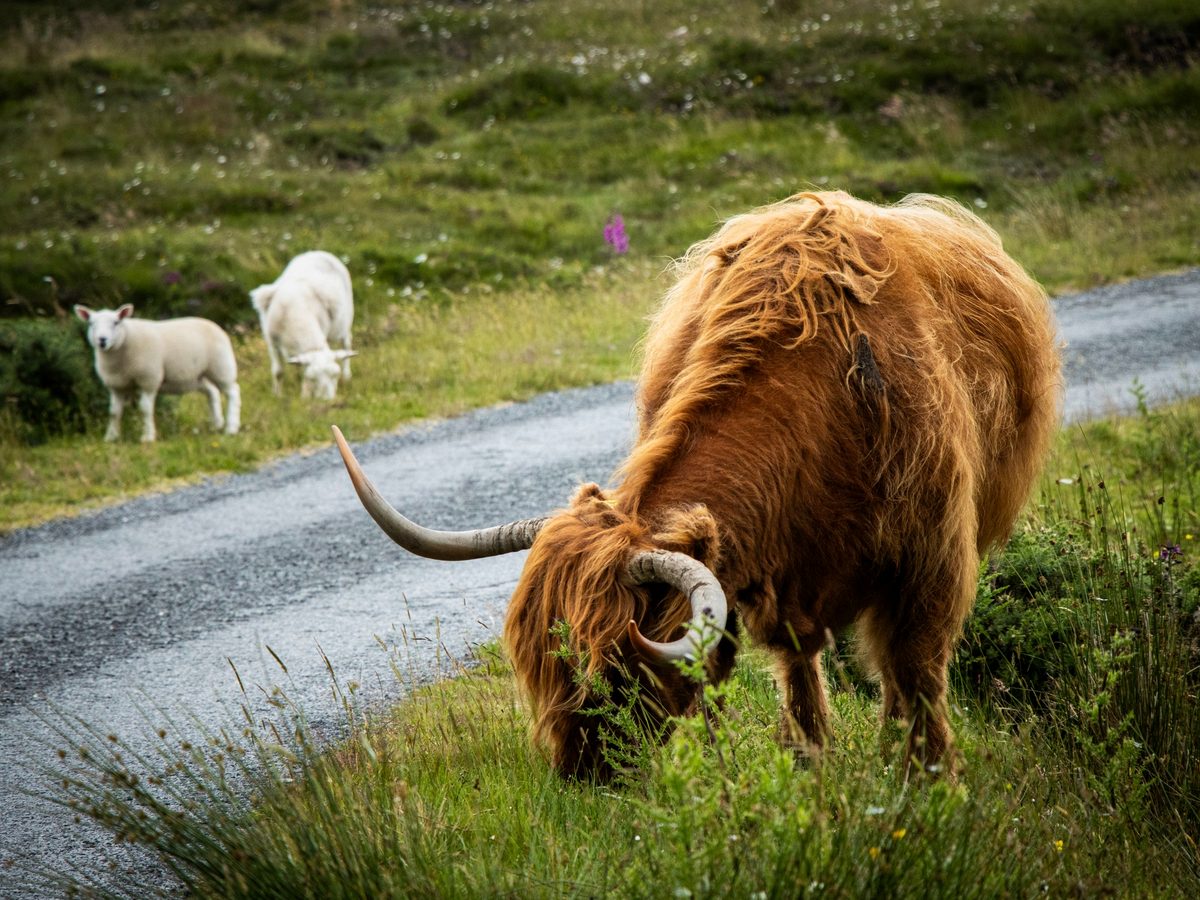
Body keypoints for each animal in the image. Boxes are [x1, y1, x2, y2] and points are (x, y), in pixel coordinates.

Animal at [332, 191, 1061, 780]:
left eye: (613, 668)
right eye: (538, 664)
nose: (582, 772)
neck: (819, 400)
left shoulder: (931, 561)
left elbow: (915, 671)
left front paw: (928, 777)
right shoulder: (774, 583)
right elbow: (790, 667)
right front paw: (805, 763)